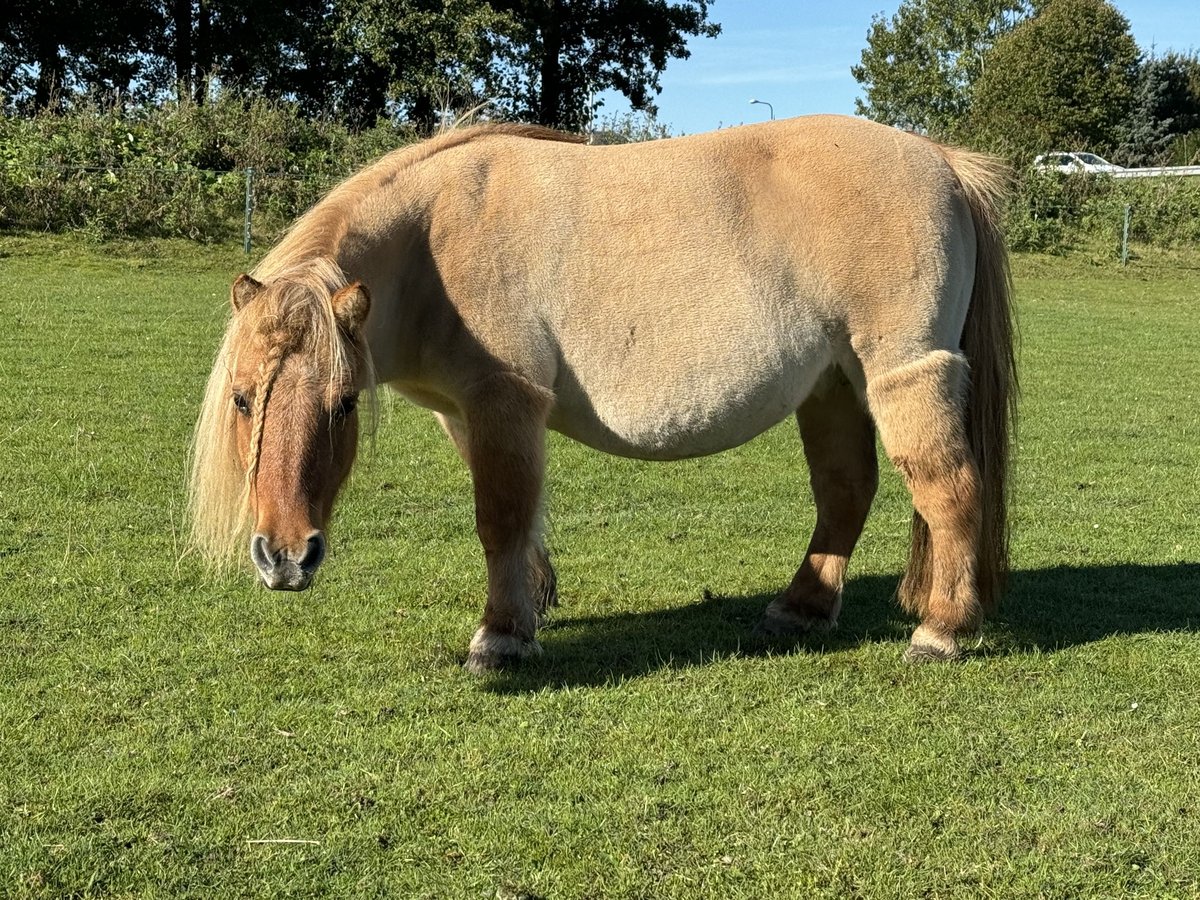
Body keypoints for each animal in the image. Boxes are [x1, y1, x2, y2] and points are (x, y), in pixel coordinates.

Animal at [187, 116, 1012, 672]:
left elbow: (501, 516)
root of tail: (941, 160)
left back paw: (941, 631)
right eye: (242, 400)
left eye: (344, 404)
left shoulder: (505, 402)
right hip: (835, 385)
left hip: (903, 374)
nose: (286, 558)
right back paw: (800, 609)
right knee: (846, 491)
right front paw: (531, 602)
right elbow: (519, 517)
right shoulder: (469, 416)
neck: (435, 243)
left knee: (949, 491)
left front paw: (500, 636)